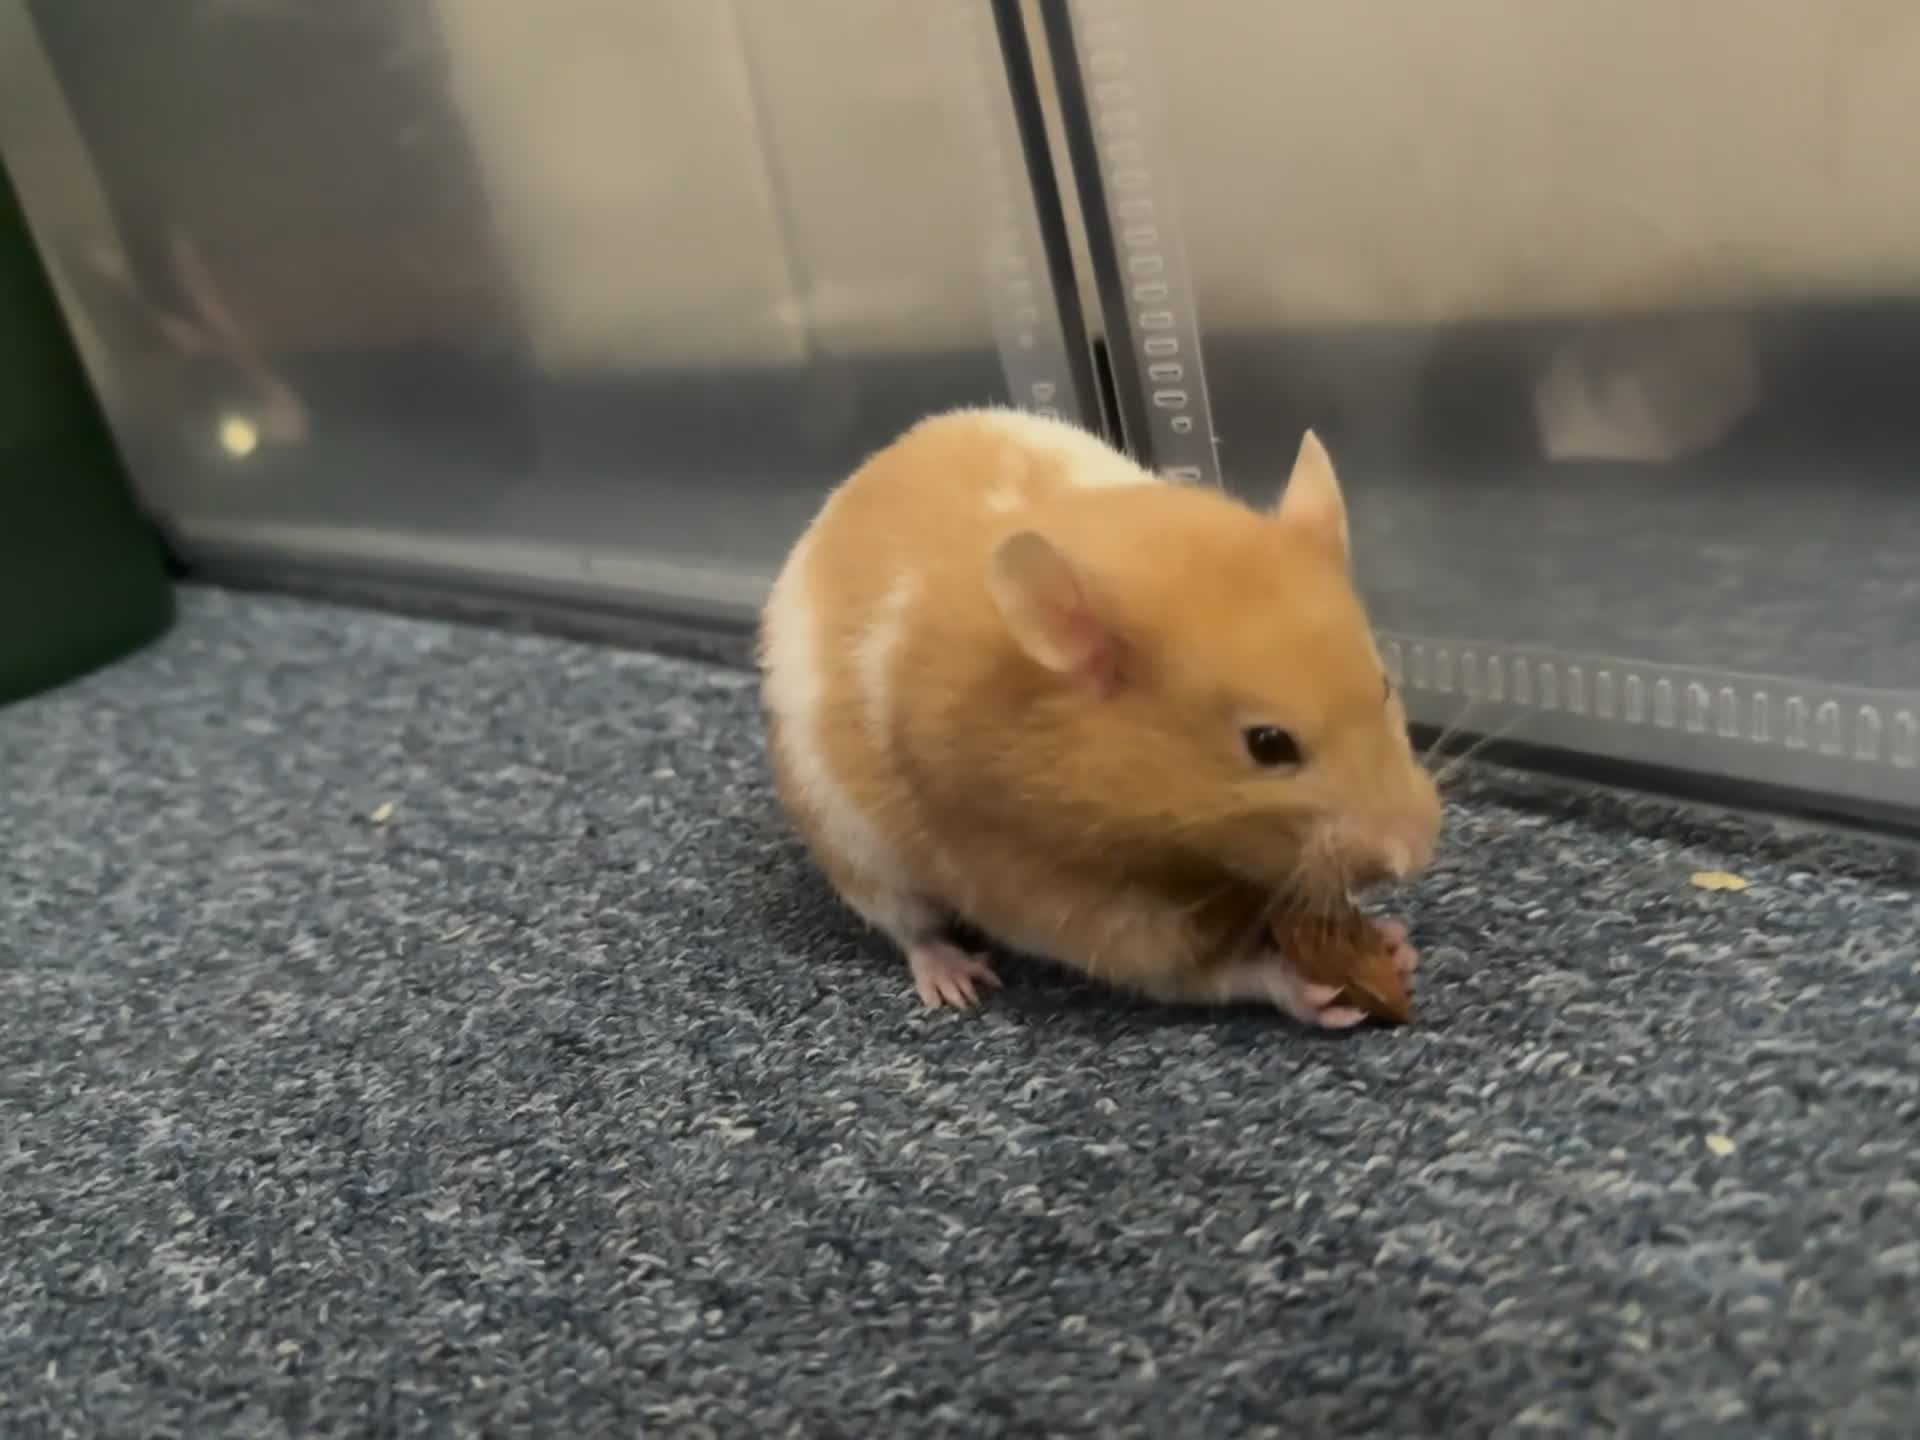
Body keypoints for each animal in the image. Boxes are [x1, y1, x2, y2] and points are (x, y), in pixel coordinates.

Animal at [757, 407, 1441, 1028]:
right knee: (910, 928)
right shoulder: (1048, 892)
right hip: (856, 852)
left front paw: (1394, 946)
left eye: (1384, 687)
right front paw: (1315, 993)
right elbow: (1202, 970)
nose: (1413, 856)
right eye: (1269, 745)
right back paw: (956, 982)